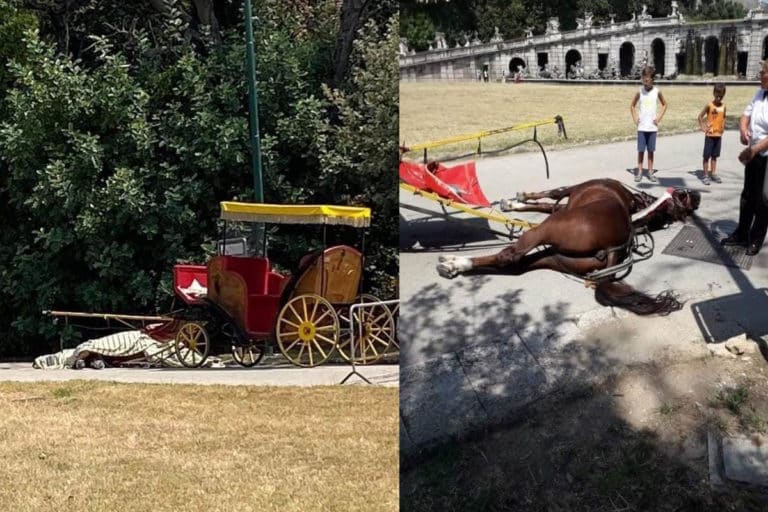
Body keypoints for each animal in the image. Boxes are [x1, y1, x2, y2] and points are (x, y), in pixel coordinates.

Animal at [436, 178, 701, 315]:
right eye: (685, 197)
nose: (697, 195)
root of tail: (613, 248)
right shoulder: (565, 205)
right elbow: (545, 204)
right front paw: (513, 204)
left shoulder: (570, 192)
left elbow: (552, 193)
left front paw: (516, 200)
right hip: (555, 257)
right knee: (518, 266)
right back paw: (456, 265)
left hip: (545, 231)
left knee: (510, 255)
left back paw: (455, 263)